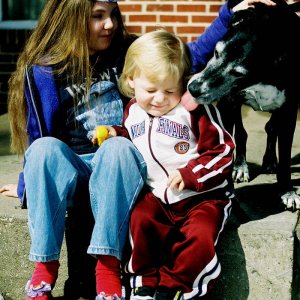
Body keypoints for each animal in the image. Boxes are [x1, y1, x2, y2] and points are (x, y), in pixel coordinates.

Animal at [188, 0, 300, 210]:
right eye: (216, 52)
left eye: (238, 73)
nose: (193, 89)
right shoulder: (227, 104)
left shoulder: (289, 111)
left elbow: (285, 155)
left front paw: (287, 191)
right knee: (242, 133)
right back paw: (240, 166)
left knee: (271, 127)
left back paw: (269, 160)